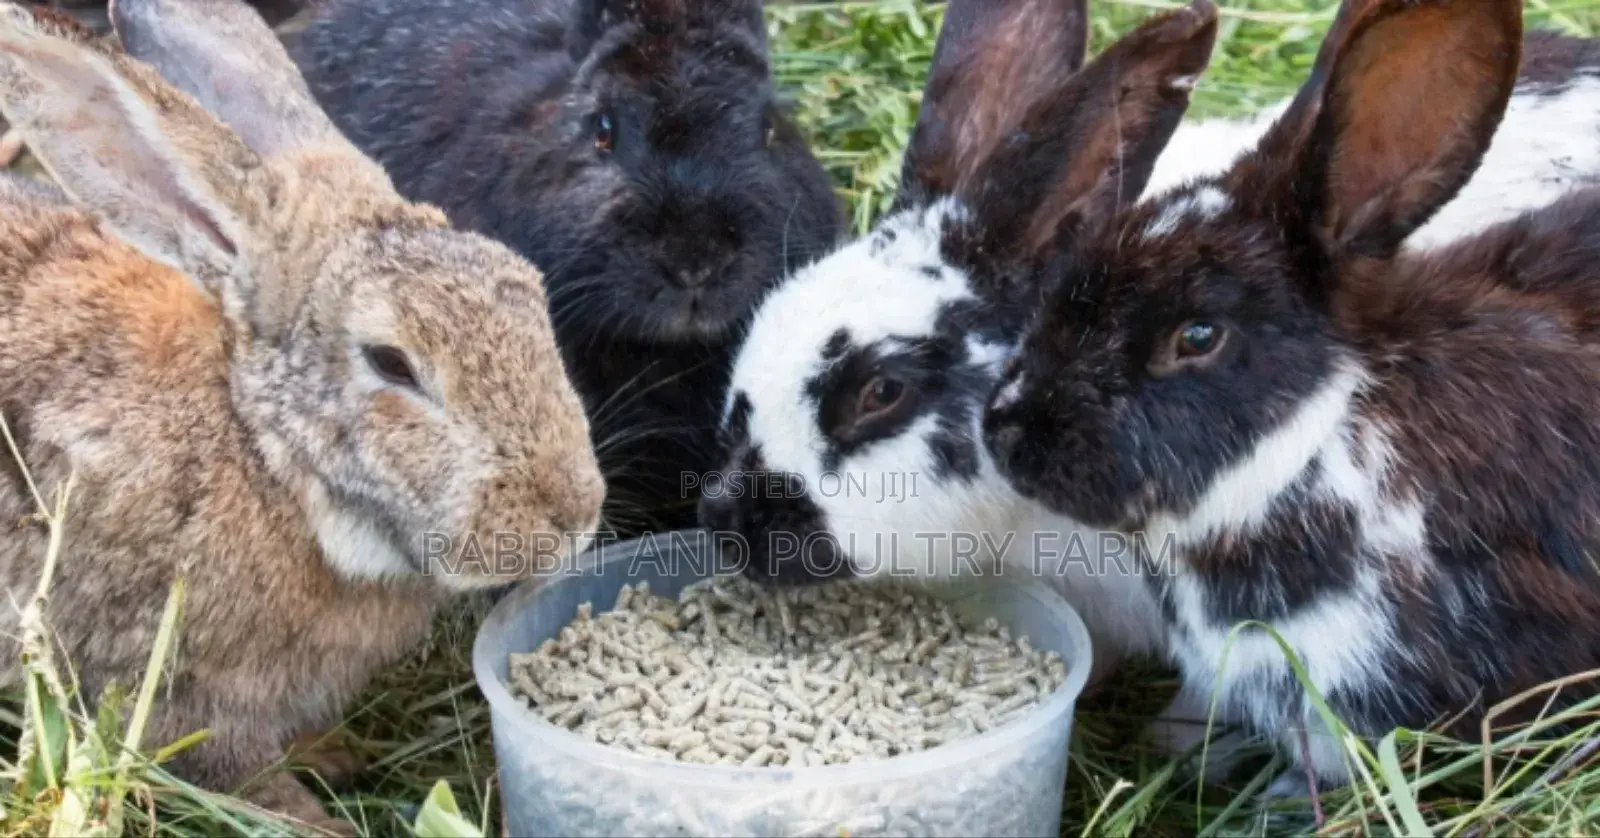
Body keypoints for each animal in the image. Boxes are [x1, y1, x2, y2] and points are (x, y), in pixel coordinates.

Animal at [0, 0, 604, 830]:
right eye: (391, 363)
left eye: (530, 290)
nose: (576, 512)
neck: (263, 457)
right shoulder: (172, 686)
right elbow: (234, 772)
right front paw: (318, 819)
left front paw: (333, 753)